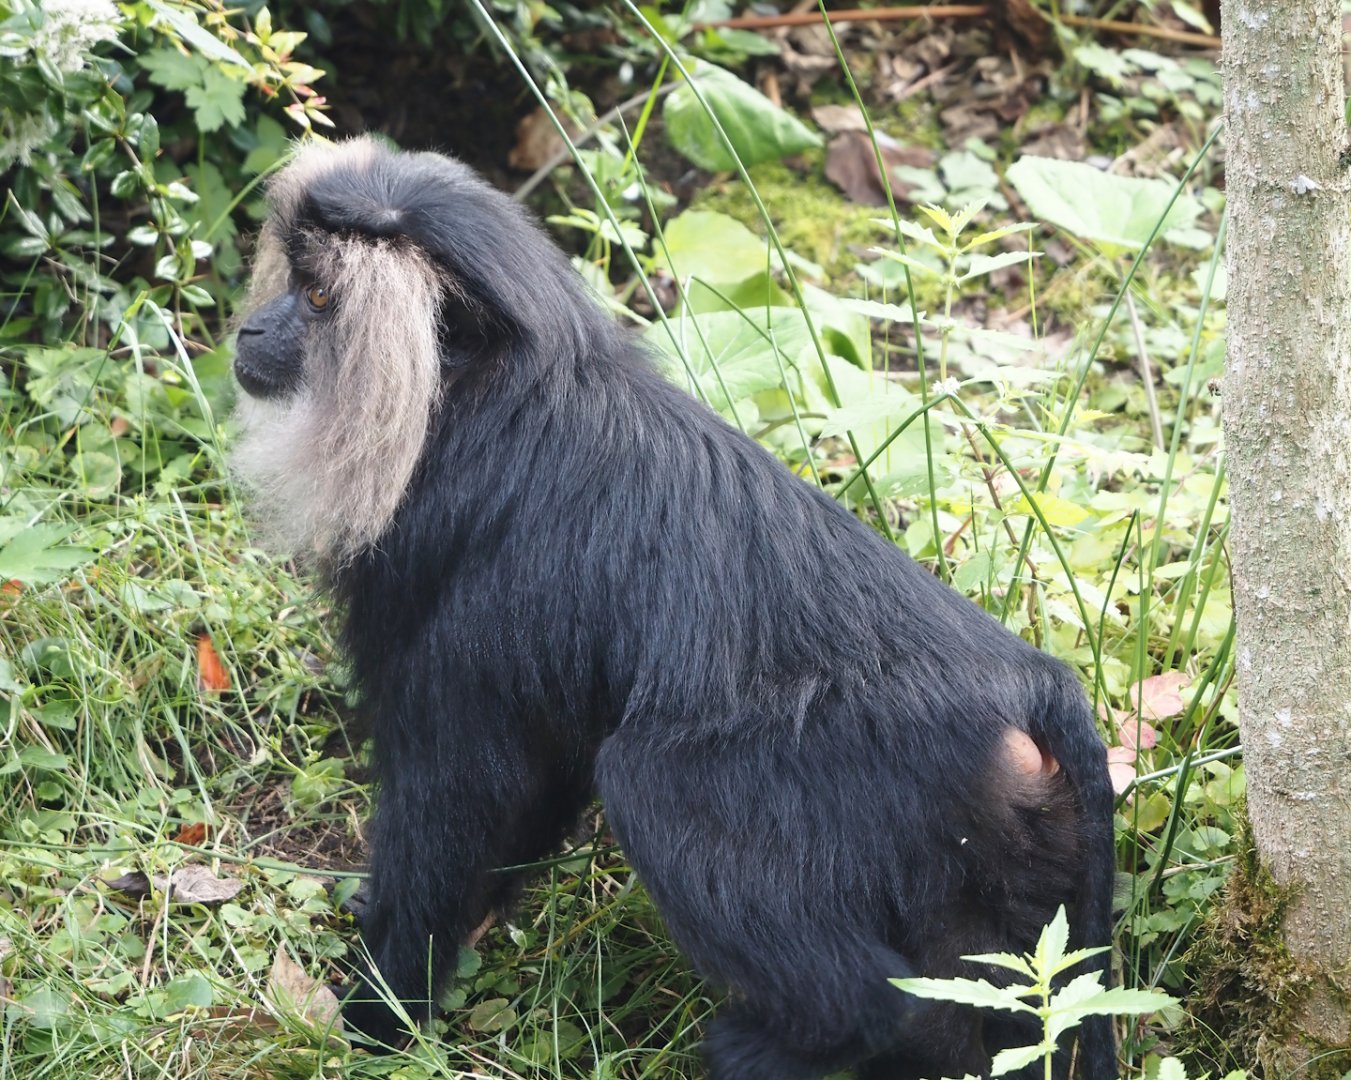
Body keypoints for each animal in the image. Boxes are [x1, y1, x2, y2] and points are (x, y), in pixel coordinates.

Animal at [231, 137, 1117, 1080]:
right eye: (295, 281)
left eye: (319, 300)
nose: (251, 332)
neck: (490, 407)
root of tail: (1024, 684)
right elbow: (533, 788)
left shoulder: (465, 601)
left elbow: (459, 794)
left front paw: (378, 1016)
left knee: (657, 789)